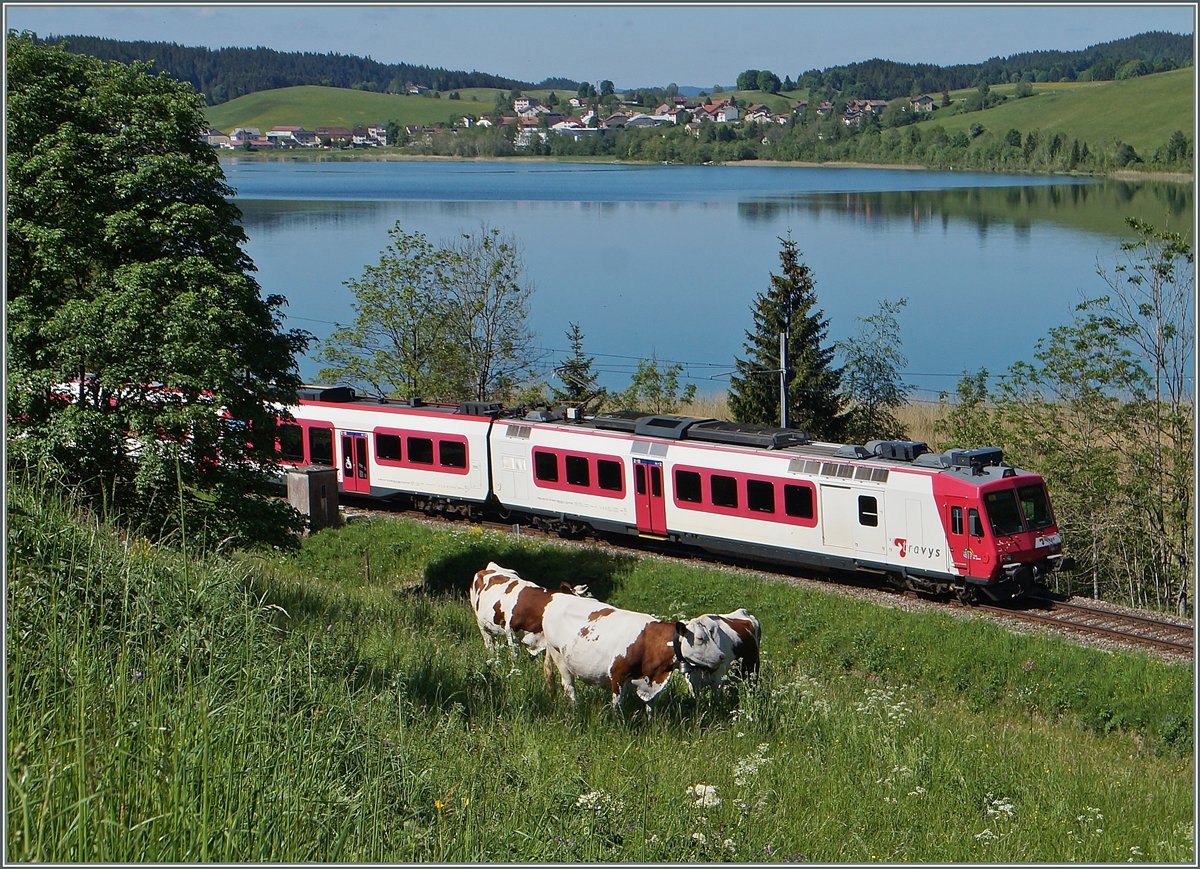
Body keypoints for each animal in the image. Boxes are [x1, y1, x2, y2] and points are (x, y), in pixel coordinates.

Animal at [538, 593, 726, 712]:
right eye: (700, 638)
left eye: (711, 634)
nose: (722, 656)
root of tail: (557, 597)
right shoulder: (617, 675)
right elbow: (617, 704)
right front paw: (618, 724)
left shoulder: (653, 680)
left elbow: (650, 707)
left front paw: (652, 727)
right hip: (558, 656)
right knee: (569, 686)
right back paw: (575, 708)